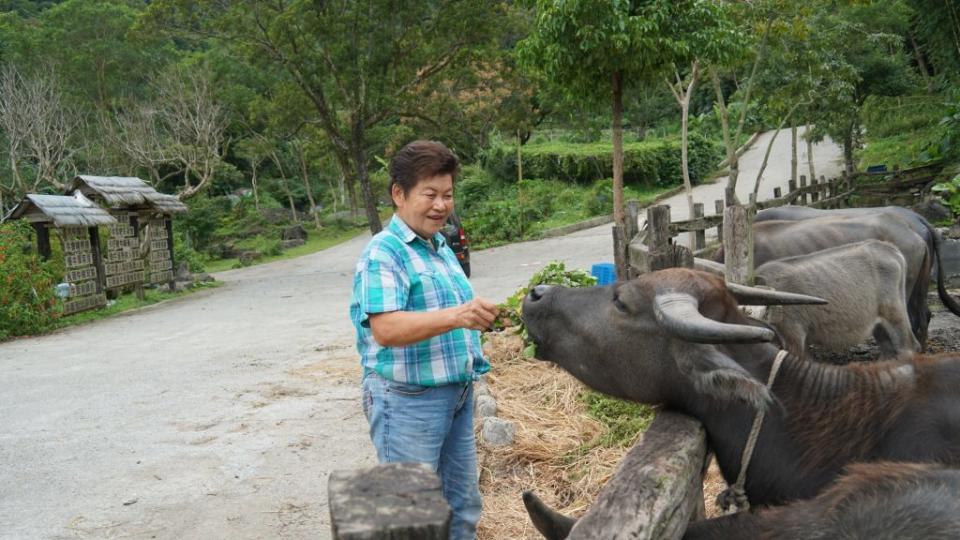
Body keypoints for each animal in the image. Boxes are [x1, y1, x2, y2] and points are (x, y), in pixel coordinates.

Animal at [752, 240, 920, 358]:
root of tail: (888, 247)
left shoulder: (793, 334)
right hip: (878, 323)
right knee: (889, 351)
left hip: (895, 315)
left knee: (908, 348)